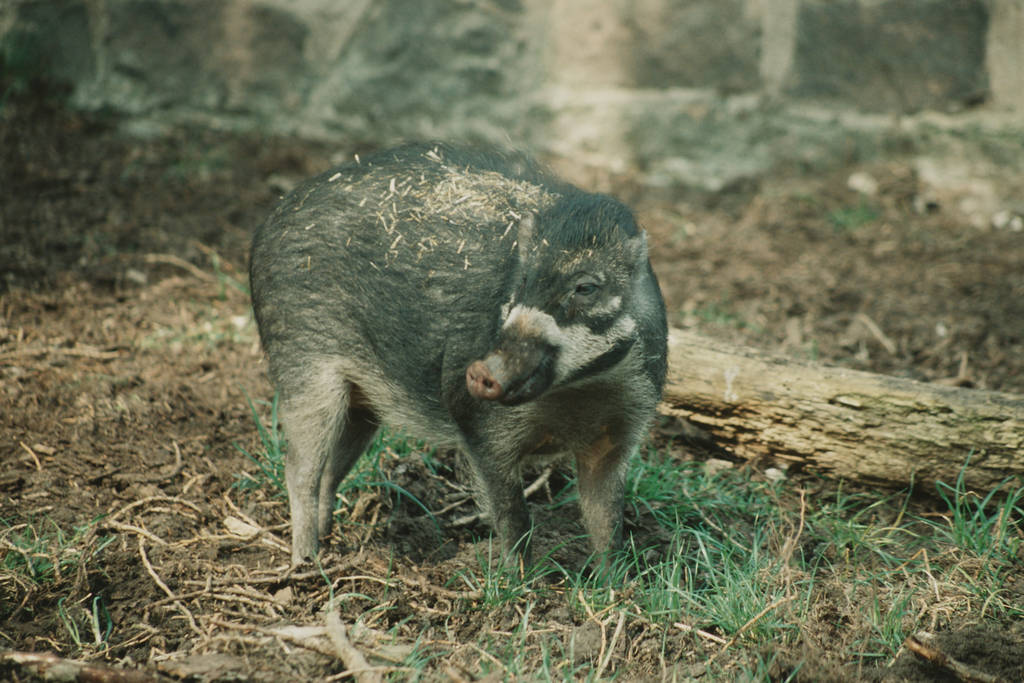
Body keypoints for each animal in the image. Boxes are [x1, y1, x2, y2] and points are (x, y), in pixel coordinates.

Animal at [249, 142, 668, 567]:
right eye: (524, 279)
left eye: (586, 287)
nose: (480, 369)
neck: (580, 394)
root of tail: (271, 219)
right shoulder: (479, 426)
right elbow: (513, 519)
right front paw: (522, 579)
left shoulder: (619, 433)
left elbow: (607, 523)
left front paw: (612, 579)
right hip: (302, 363)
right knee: (299, 469)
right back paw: (306, 564)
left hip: (360, 402)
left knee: (331, 469)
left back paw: (325, 544)